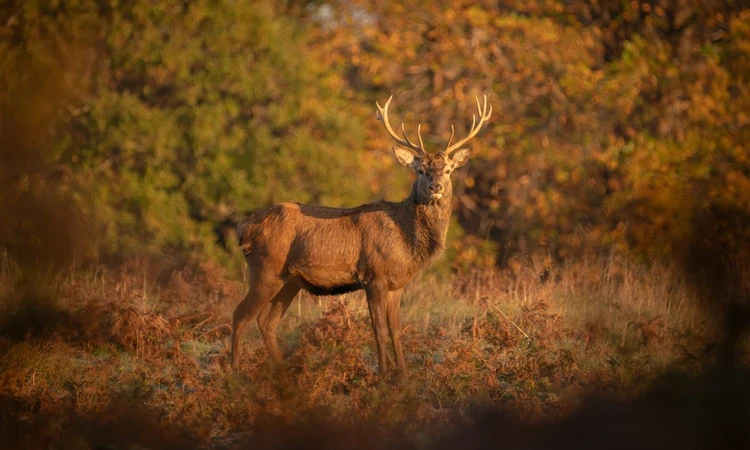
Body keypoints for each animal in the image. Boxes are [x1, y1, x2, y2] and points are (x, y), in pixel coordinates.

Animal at [231, 95, 492, 378]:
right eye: (421, 170)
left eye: (448, 170)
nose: (436, 187)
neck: (406, 239)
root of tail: (245, 227)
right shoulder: (374, 276)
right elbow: (378, 330)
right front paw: (383, 377)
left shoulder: (397, 284)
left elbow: (396, 330)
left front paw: (404, 377)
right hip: (265, 269)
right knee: (239, 315)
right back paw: (233, 373)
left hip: (289, 281)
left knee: (266, 322)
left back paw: (283, 374)